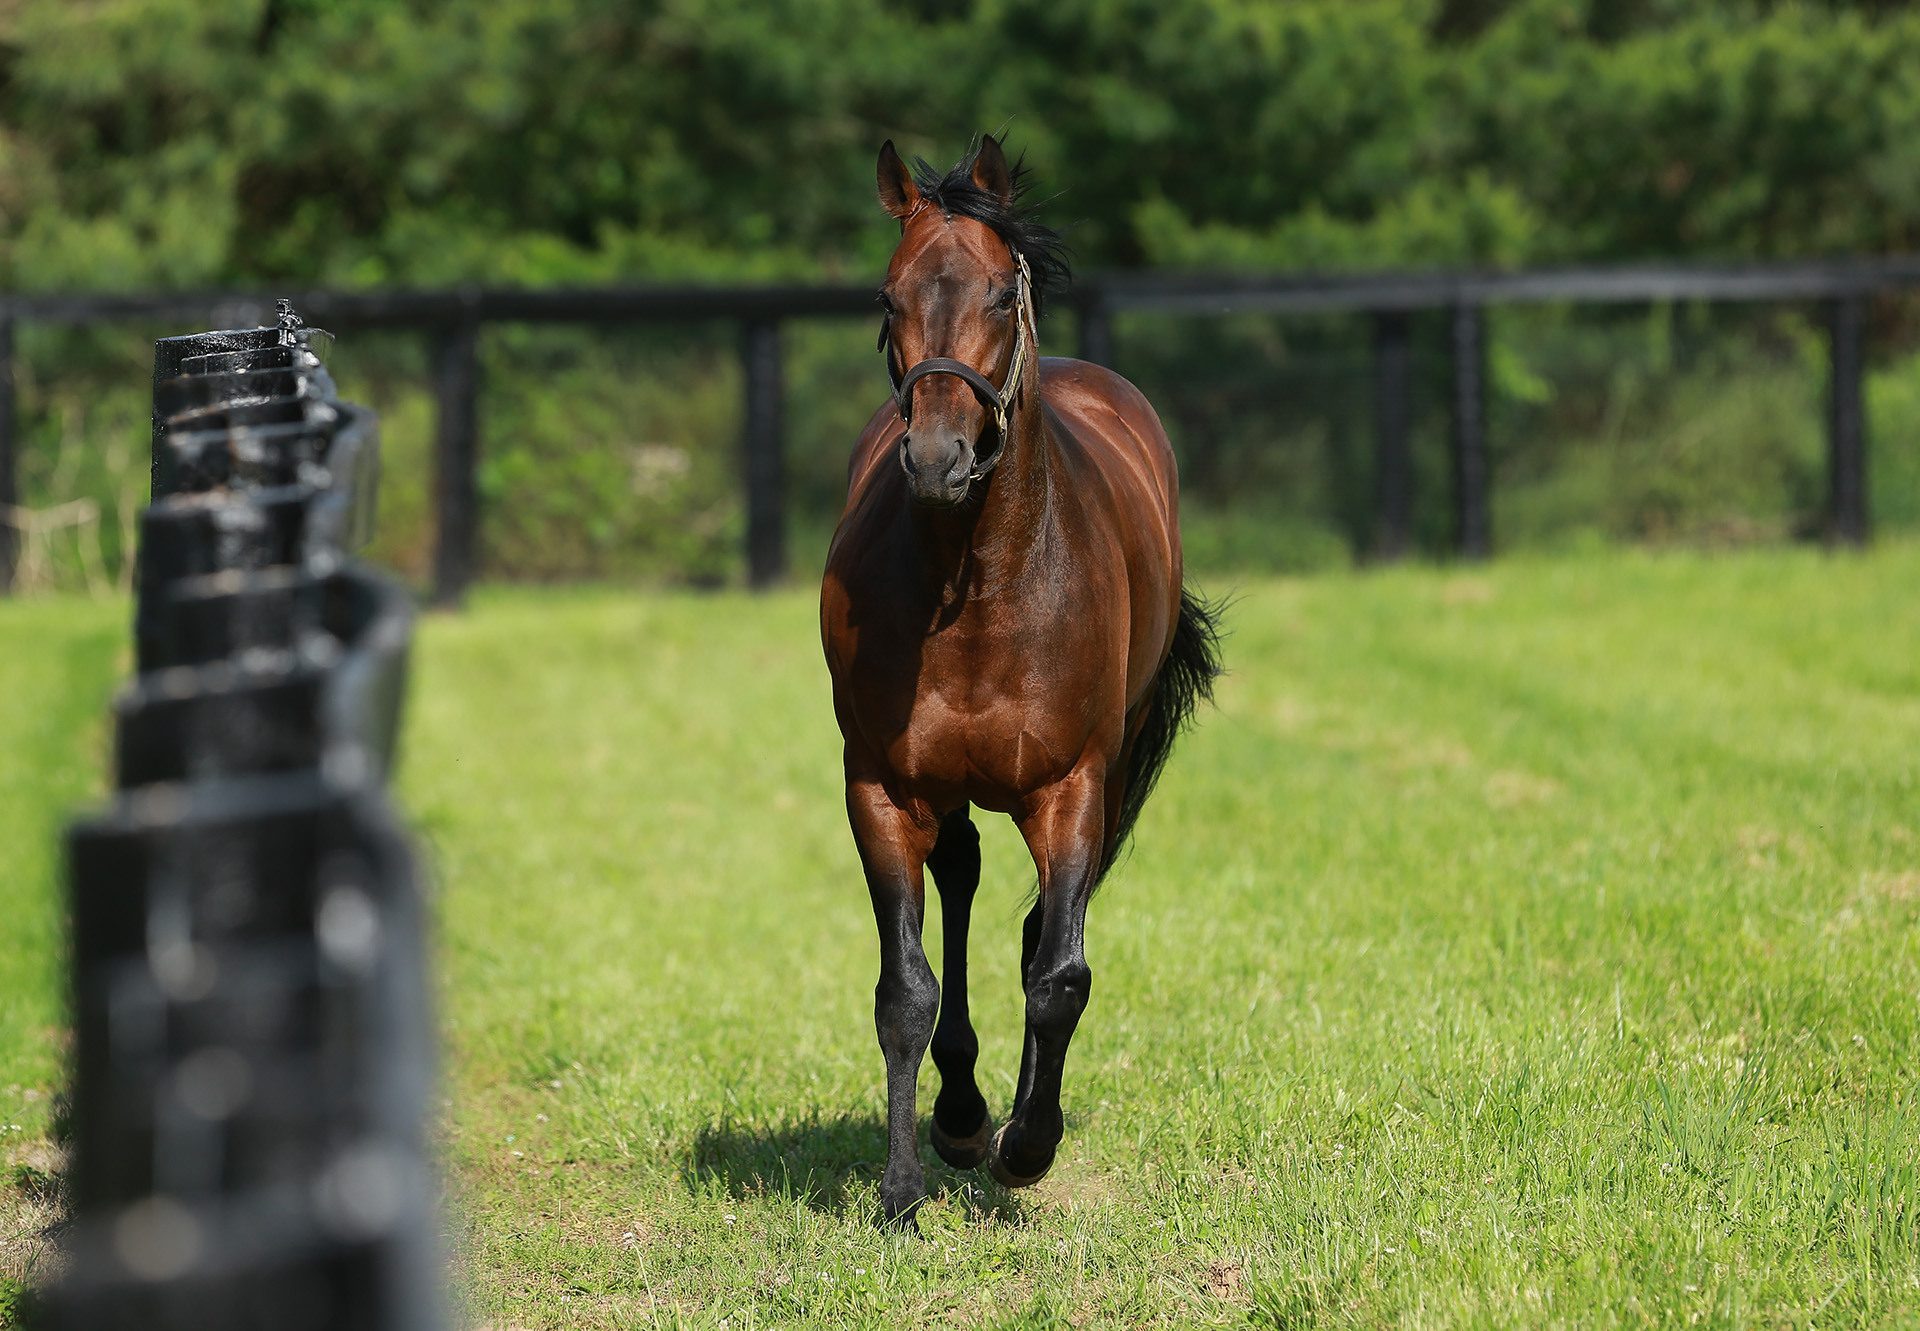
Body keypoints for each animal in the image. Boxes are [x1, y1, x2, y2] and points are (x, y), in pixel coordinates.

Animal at [821, 137, 1213, 1221]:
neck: (983, 585)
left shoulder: (1073, 785)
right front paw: (903, 1186)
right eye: (887, 297)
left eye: (1001, 293)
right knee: (959, 881)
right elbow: (904, 989)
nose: (936, 458)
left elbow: (1059, 973)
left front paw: (1027, 1148)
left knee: (1041, 926)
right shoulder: (882, 786)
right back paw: (960, 1113)